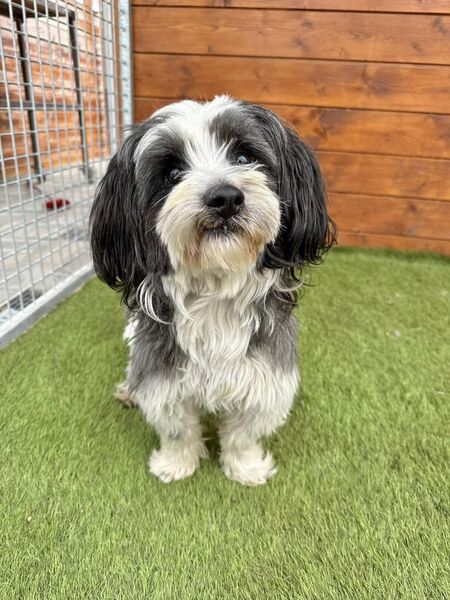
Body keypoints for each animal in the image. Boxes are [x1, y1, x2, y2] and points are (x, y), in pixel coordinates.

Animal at [90, 96, 335, 486]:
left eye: (243, 157)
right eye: (173, 173)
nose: (225, 197)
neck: (215, 291)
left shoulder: (264, 376)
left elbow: (242, 434)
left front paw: (246, 468)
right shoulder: (162, 377)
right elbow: (177, 430)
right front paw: (175, 465)